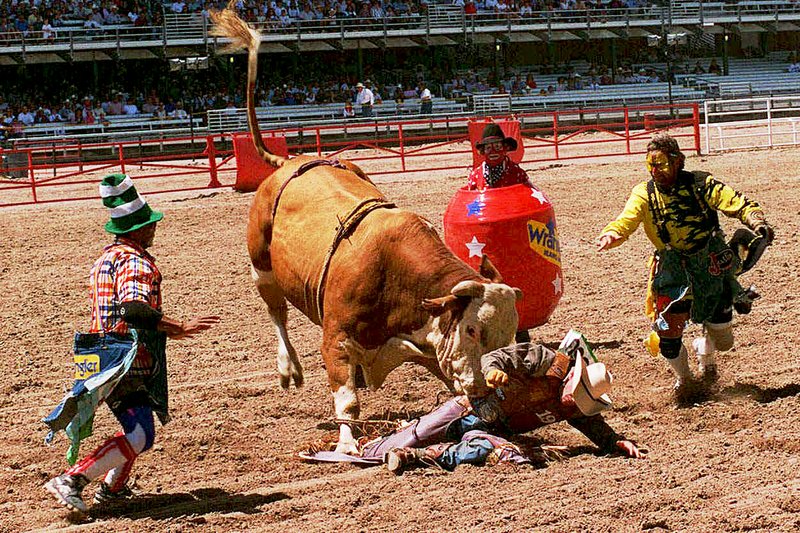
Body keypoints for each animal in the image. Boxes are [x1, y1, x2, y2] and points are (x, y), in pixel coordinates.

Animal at [212, 5, 520, 454]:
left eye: (508, 336)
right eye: (472, 329)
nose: (491, 383)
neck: (393, 274)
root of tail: (288, 162)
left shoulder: (429, 346)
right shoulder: (335, 339)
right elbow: (347, 401)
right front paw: (346, 444)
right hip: (261, 268)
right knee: (277, 313)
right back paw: (289, 368)